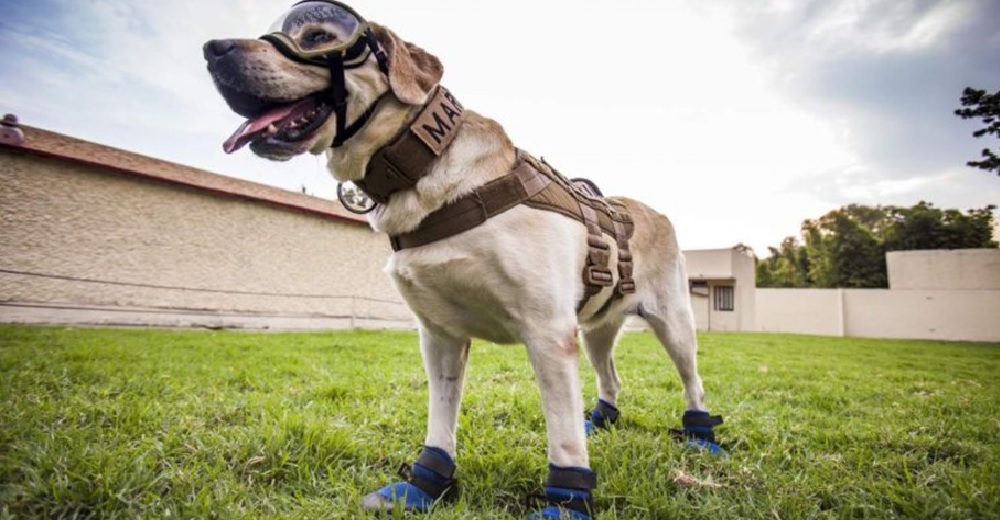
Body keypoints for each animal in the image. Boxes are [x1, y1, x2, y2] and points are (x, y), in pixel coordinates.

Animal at [203, 2, 724, 516]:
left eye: (317, 36)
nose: (212, 48)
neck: (423, 174)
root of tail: (654, 211)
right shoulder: (439, 335)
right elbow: (441, 418)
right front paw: (425, 484)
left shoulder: (548, 333)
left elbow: (561, 436)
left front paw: (567, 501)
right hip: (597, 329)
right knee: (610, 377)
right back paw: (600, 420)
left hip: (674, 323)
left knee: (693, 381)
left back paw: (702, 438)